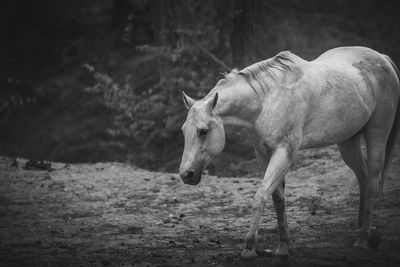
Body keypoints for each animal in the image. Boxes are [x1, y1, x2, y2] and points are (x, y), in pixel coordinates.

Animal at [179, 46, 400, 264]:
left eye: (202, 131)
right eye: (183, 130)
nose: (186, 174)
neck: (266, 100)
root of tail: (383, 58)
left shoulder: (284, 152)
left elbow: (261, 196)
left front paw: (249, 248)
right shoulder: (263, 154)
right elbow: (278, 201)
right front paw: (283, 248)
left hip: (377, 135)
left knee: (372, 183)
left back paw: (362, 240)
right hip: (348, 142)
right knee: (363, 179)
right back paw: (369, 233)